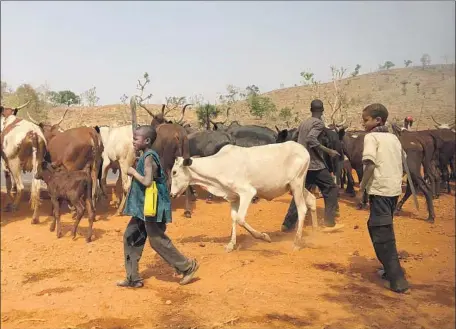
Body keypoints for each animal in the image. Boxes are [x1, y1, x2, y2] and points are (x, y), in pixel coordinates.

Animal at [170, 140, 318, 251]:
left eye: (174, 172)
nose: (171, 194)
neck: (218, 166)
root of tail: (304, 150)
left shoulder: (247, 192)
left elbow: (240, 219)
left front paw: (263, 237)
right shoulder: (233, 197)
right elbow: (234, 218)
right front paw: (231, 244)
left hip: (297, 183)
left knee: (302, 208)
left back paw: (297, 242)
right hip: (295, 186)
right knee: (311, 200)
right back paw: (316, 233)